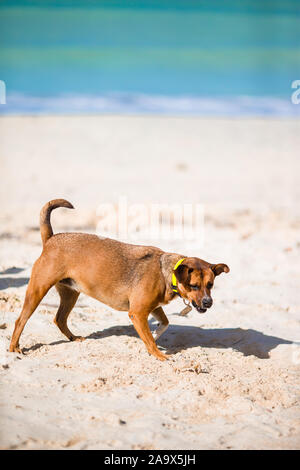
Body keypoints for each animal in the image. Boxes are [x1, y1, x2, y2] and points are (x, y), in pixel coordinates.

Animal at [9, 198, 230, 360]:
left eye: (210, 285)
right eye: (194, 286)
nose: (208, 303)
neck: (166, 272)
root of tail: (51, 239)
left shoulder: (152, 308)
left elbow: (164, 324)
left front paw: (154, 337)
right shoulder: (138, 313)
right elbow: (151, 340)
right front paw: (159, 355)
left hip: (71, 293)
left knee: (59, 319)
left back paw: (73, 338)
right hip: (37, 290)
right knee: (21, 320)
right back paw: (14, 349)